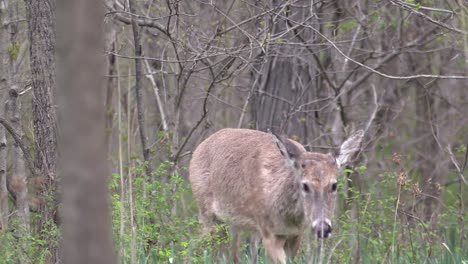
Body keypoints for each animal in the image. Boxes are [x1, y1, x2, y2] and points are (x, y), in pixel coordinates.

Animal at [188, 128, 364, 264]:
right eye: (305, 185)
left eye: (334, 185)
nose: (323, 228)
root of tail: (198, 148)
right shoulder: (269, 232)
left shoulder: (296, 234)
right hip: (206, 211)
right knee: (201, 246)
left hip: (234, 222)